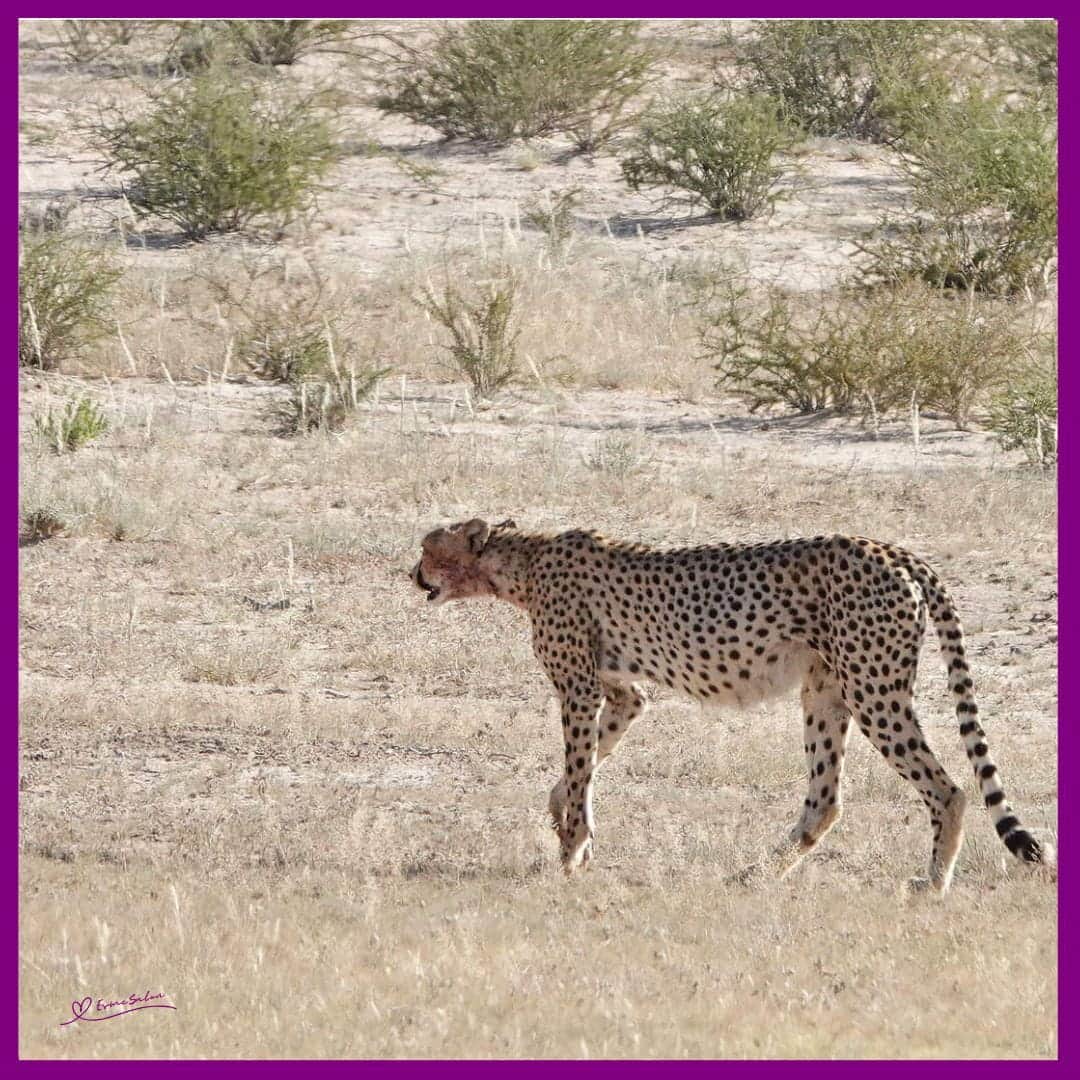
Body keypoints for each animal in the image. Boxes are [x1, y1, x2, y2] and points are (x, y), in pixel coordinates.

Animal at [411, 517, 1051, 893]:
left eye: (426, 547)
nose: (412, 573)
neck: (520, 561)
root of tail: (894, 550)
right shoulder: (623, 693)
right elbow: (582, 769)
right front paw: (564, 823)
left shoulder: (579, 688)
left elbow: (579, 768)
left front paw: (569, 854)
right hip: (826, 690)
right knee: (826, 800)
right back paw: (757, 874)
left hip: (873, 689)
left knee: (948, 789)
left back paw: (932, 885)